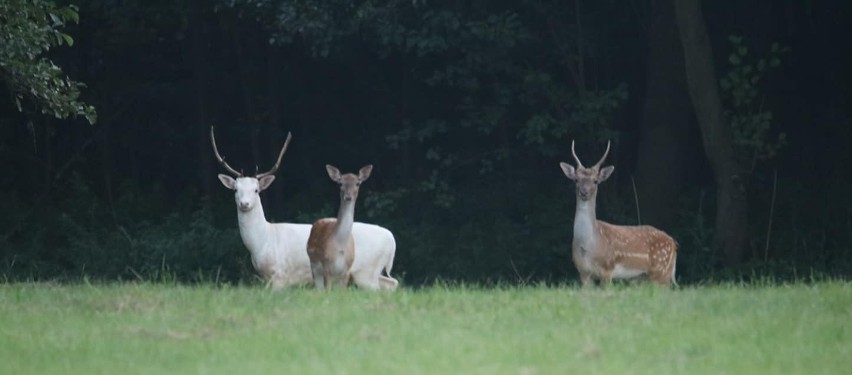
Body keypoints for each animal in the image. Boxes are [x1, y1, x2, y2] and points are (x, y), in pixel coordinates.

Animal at [211, 127, 402, 290]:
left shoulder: (280, 276)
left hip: (366, 271)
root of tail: (392, 240)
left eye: (256, 190)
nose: (244, 204)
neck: (262, 243)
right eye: (236, 189)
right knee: (392, 283)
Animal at [560, 142, 680, 288]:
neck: (588, 247)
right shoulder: (583, 272)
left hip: (661, 272)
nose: (584, 192)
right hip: (644, 278)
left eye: (595, 181)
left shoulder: (607, 267)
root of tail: (673, 243)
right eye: (576, 180)